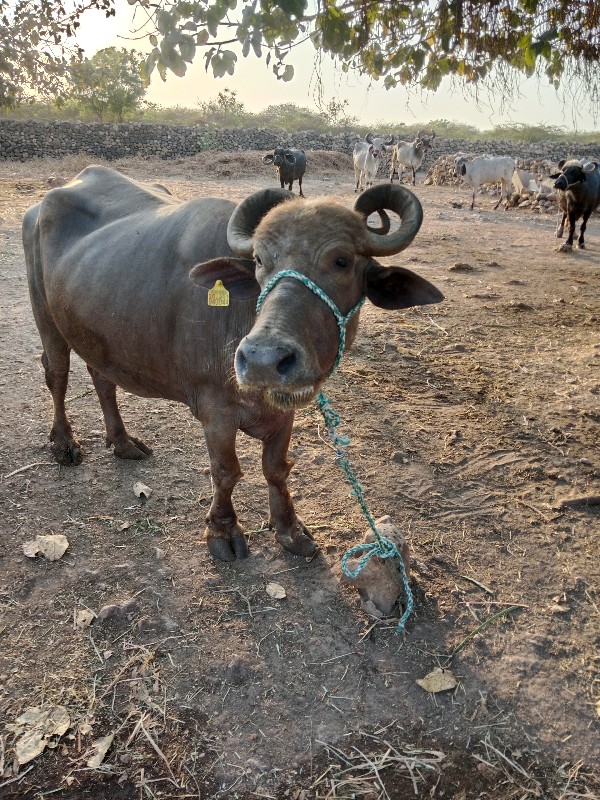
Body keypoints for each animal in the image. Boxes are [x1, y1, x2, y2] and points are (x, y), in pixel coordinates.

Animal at [22, 163, 440, 564]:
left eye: (342, 260)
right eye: (259, 260)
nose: (263, 359)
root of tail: (40, 207)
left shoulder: (283, 411)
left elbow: (276, 469)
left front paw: (289, 529)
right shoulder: (215, 411)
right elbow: (225, 472)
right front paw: (222, 531)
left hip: (96, 333)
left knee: (102, 376)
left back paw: (123, 442)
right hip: (46, 317)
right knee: (57, 374)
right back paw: (64, 443)